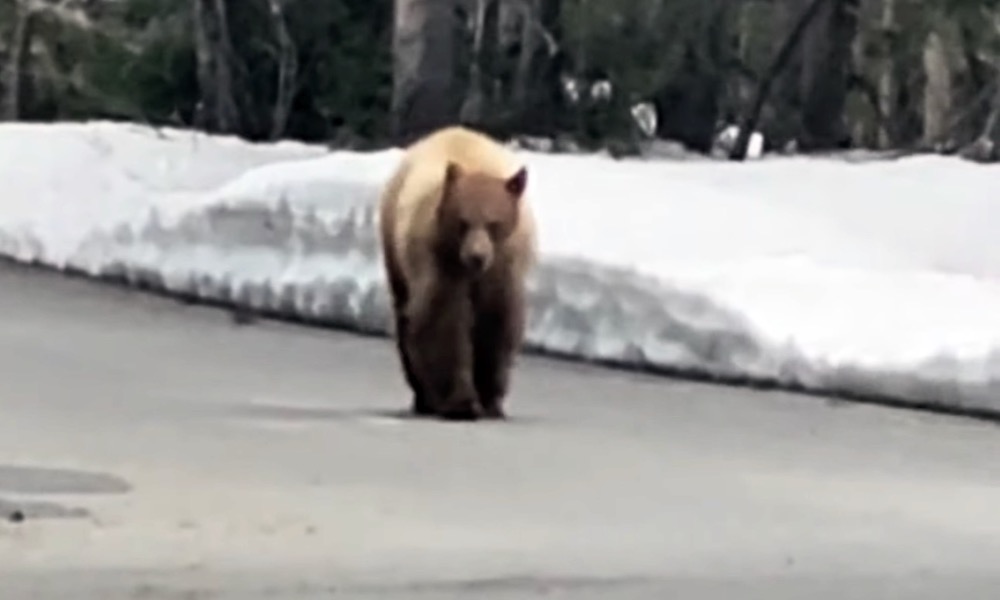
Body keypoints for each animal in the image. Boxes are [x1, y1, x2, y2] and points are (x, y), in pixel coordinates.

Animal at [378, 124, 540, 420]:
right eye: (463, 222)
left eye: (494, 223)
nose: (477, 256)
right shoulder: (440, 259)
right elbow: (445, 319)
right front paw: (461, 402)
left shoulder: (504, 265)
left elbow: (498, 320)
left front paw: (490, 399)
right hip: (394, 248)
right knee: (404, 314)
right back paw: (422, 396)